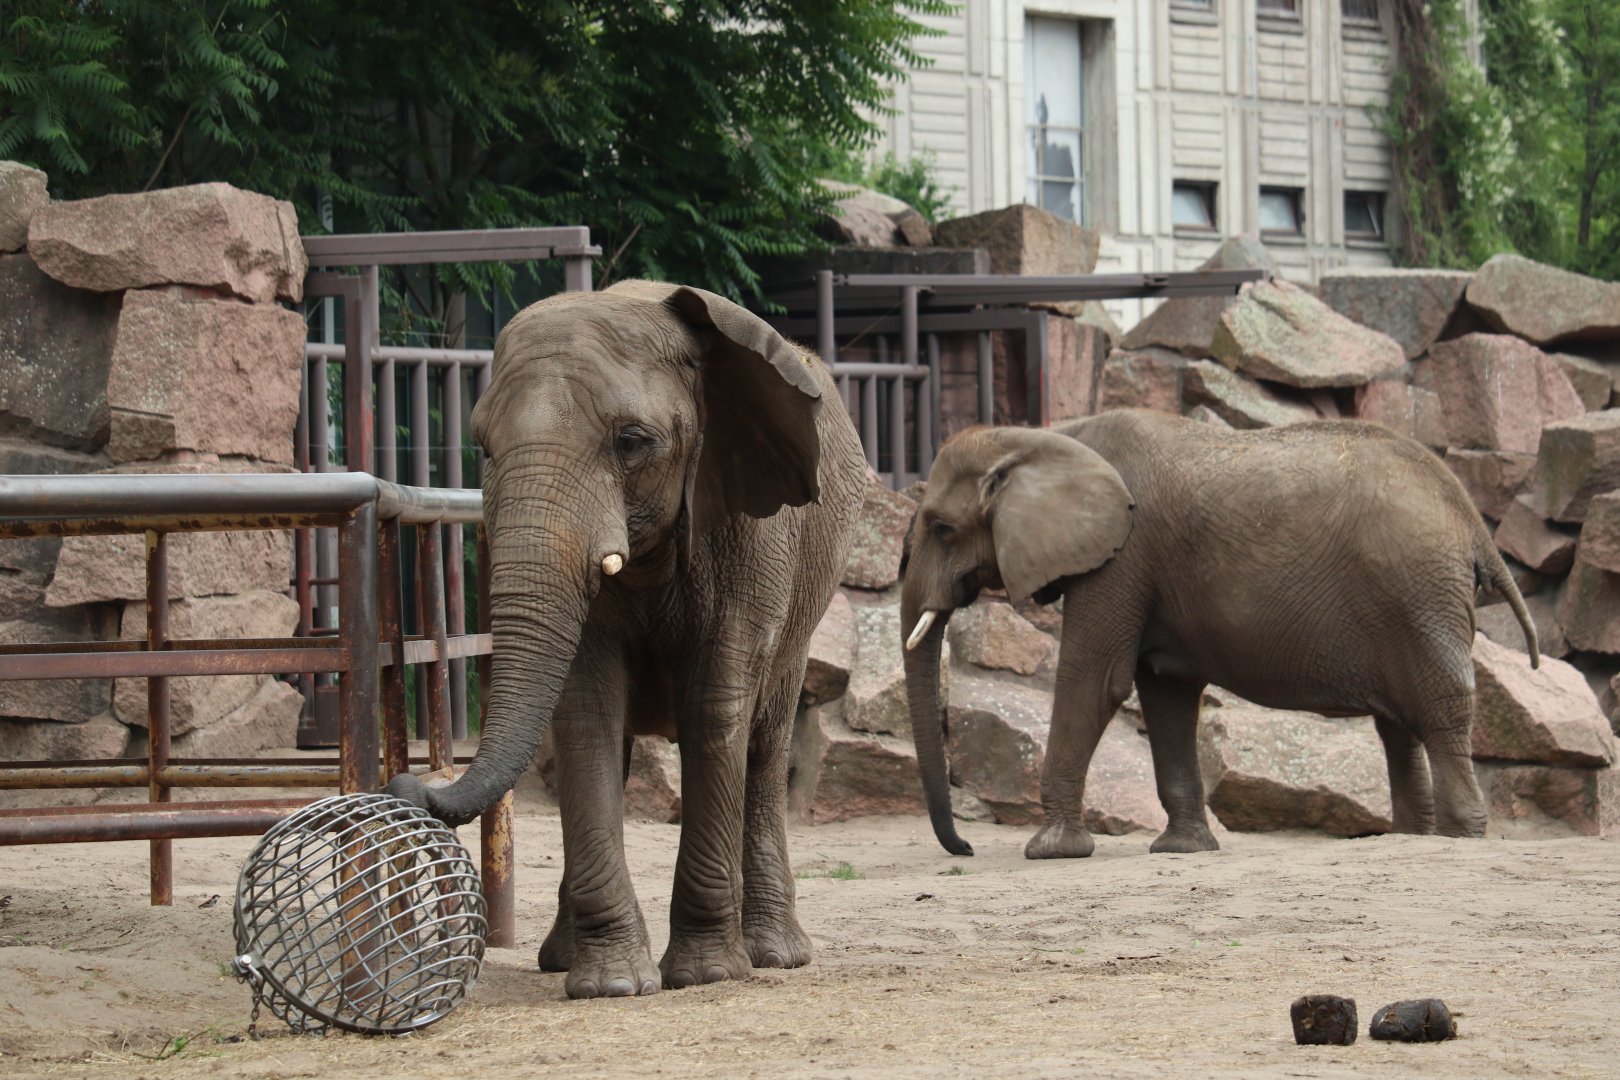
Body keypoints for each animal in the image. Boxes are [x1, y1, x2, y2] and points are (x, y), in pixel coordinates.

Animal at [386, 280, 867, 999]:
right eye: (484, 447)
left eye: (632, 442)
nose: (408, 785)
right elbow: (587, 709)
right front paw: (610, 985)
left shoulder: (754, 533)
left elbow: (714, 708)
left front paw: (704, 976)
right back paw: (562, 958)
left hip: (806, 597)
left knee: (764, 739)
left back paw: (773, 955)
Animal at [899, 409, 1538, 859]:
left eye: (943, 528)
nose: (965, 847)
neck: (1043, 436)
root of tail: (1472, 522)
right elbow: (1165, 692)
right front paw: (1182, 851)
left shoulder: (1124, 556)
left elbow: (1097, 681)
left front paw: (1050, 852)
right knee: (1398, 724)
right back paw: (1408, 837)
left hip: (1418, 592)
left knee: (1438, 709)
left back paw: (1457, 838)